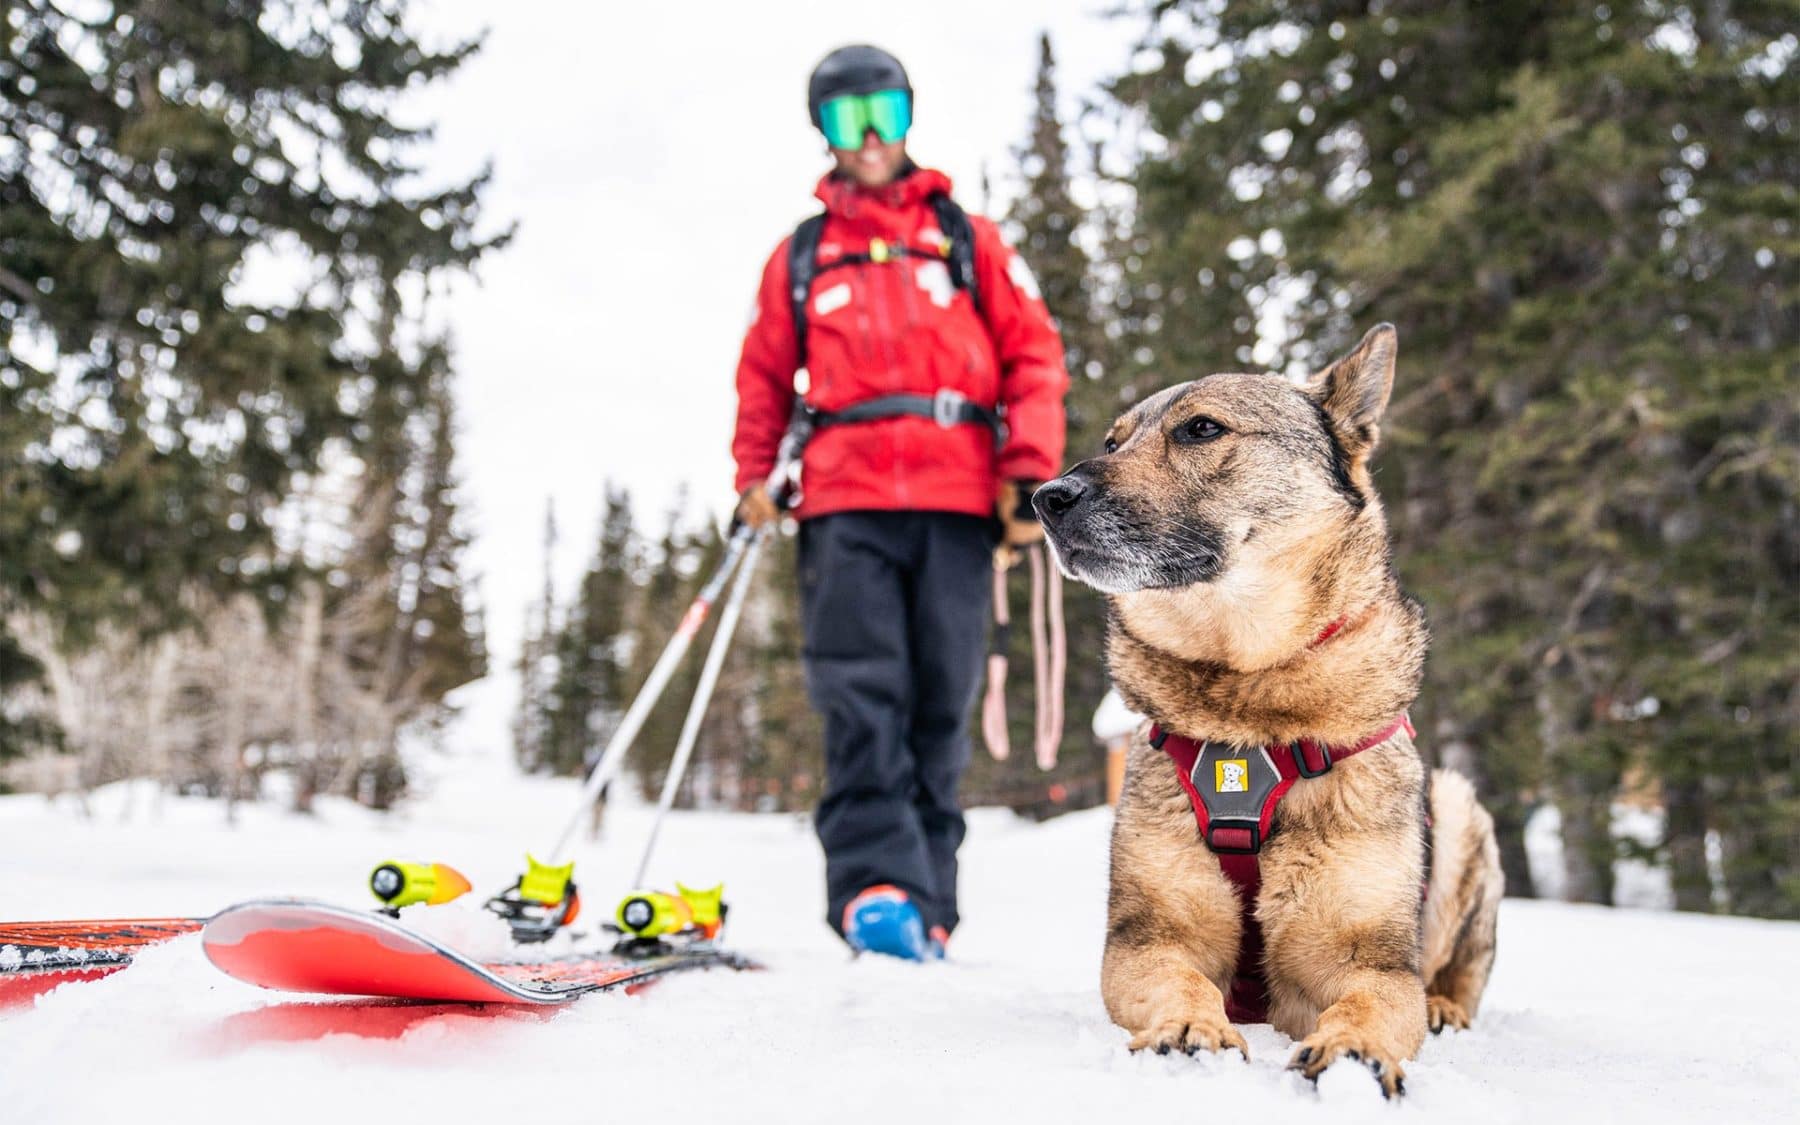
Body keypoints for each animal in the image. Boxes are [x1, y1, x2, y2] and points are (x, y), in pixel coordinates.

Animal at [1036, 320, 1497, 1094]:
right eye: (1112, 440)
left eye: (1200, 428)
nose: (1047, 497)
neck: (1250, 703)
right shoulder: (1149, 937)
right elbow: (1180, 980)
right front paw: (1188, 1028)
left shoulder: (1369, 955)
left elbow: (1371, 1002)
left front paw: (1355, 1050)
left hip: (1460, 811)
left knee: (1458, 973)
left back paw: (1445, 1009)